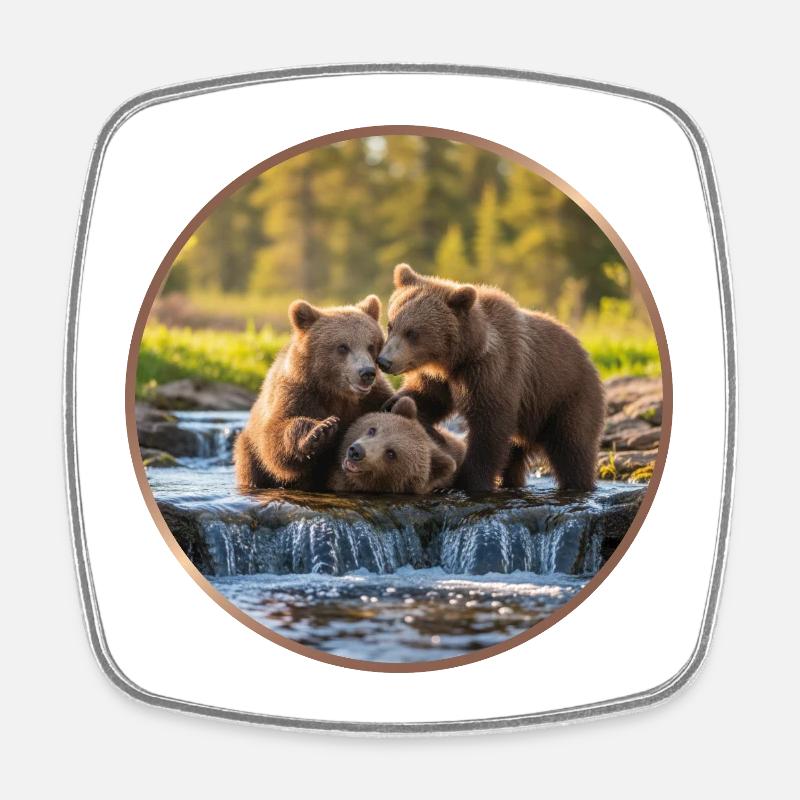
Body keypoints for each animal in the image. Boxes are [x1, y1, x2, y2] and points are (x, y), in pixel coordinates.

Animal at [234, 295, 393, 490]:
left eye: (371, 345)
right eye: (343, 347)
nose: (367, 373)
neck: (337, 392)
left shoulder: (373, 397)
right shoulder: (297, 392)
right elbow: (275, 436)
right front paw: (322, 429)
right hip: (249, 452)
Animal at [377, 264, 605, 493]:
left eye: (412, 333)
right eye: (390, 325)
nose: (383, 361)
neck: (462, 357)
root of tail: (587, 357)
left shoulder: (494, 372)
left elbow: (489, 427)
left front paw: (469, 481)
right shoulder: (443, 378)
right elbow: (430, 398)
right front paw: (392, 403)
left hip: (566, 397)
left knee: (572, 447)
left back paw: (578, 484)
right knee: (515, 455)